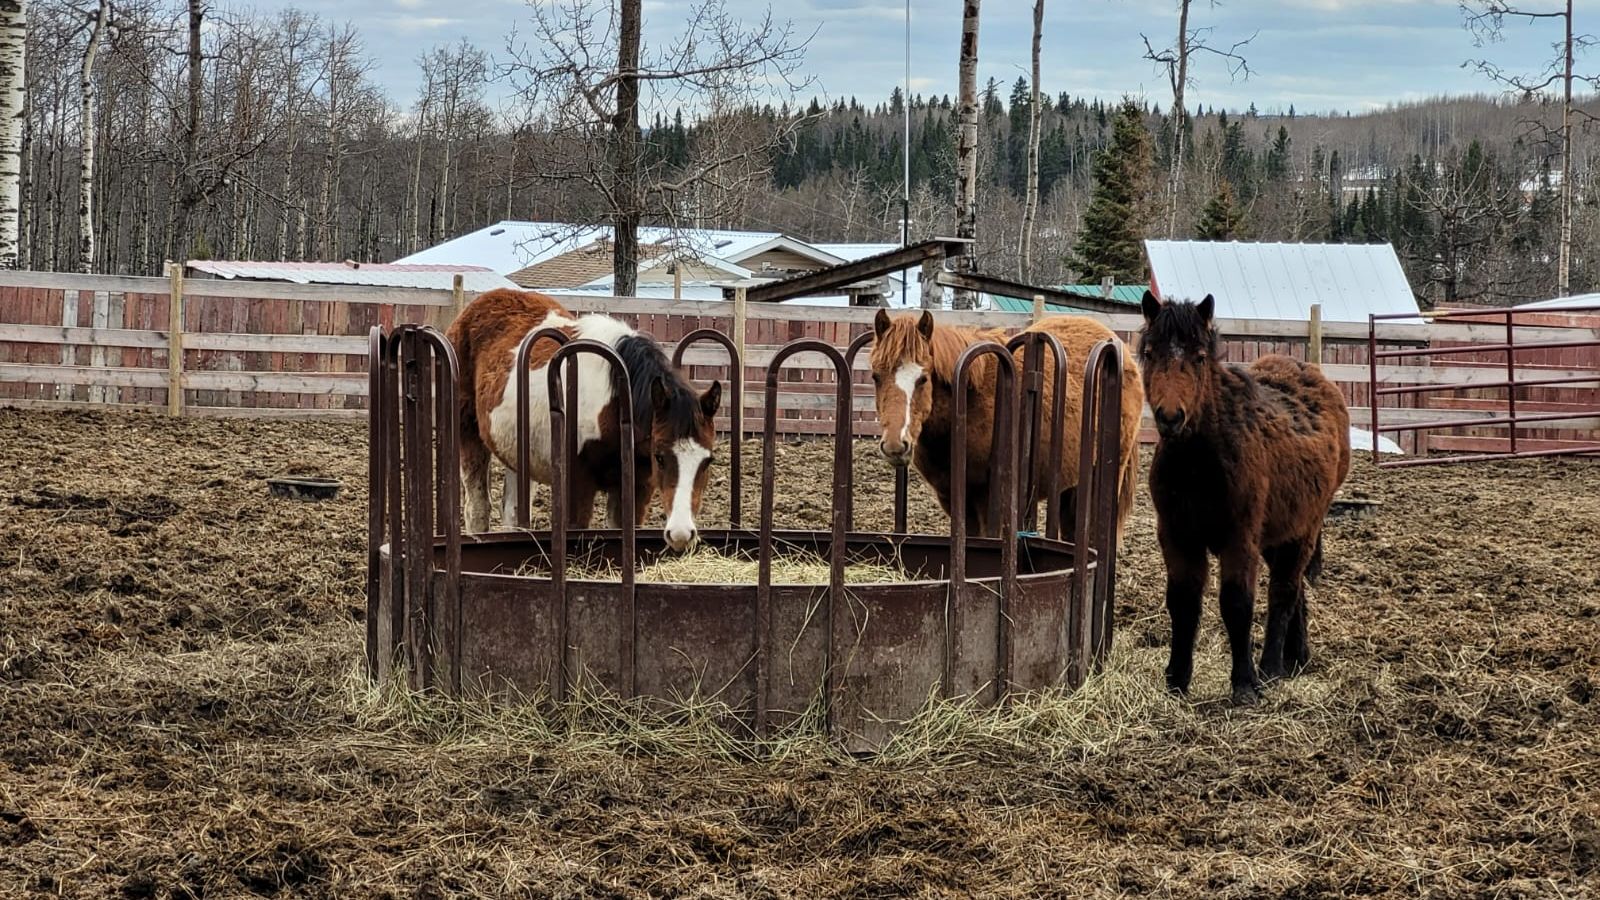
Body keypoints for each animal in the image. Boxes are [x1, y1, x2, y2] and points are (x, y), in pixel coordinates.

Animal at [446, 288, 722, 550]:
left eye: (708, 461)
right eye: (660, 457)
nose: (681, 534)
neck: (613, 402)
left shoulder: (636, 489)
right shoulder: (578, 489)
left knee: (513, 513)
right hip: (469, 437)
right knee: (477, 509)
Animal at [867, 308, 1145, 544]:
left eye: (923, 378)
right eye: (876, 376)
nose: (895, 446)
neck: (970, 400)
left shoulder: (994, 501)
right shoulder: (956, 499)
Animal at [1139, 292, 1351, 705]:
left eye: (1199, 357)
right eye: (1151, 353)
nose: (1170, 418)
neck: (1200, 463)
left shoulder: (1239, 540)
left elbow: (1237, 604)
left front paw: (1244, 684)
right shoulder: (1177, 537)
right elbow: (1182, 602)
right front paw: (1176, 679)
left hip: (1304, 530)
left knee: (1284, 592)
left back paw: (1271, 667)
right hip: (1279, 533)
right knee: (1296, 590)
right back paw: (1296, 658)